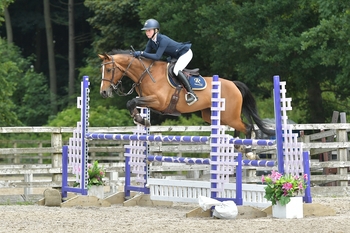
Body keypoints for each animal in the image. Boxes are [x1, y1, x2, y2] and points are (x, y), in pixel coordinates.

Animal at [98, 49, 274, 159]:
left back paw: (248, 151)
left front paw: (141, 119)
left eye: (109, 70)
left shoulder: (158, 101)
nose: (103, 93)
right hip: (215, 115)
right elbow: (132, 103)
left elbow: (131, 101)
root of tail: (233, 84)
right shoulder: (149, 102)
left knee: (247, 127)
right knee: (240, 126)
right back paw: (238, 146)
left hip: (229, 115)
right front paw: (141, 119)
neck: (146, 74)